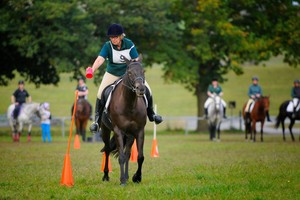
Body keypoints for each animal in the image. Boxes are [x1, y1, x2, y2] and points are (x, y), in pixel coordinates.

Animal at [101, 55, 148, 186]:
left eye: (143, 71)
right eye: (130, 72)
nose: (140, 89)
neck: (129, 104)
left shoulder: (139, 131)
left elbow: (140, 157)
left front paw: (137, 177)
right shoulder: (118, 131)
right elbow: (121, 156)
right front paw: (122, 180)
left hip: (130, 135)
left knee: (127, 154)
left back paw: (126, 176)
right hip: (105, 131)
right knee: (107, 150)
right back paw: (106, 175)